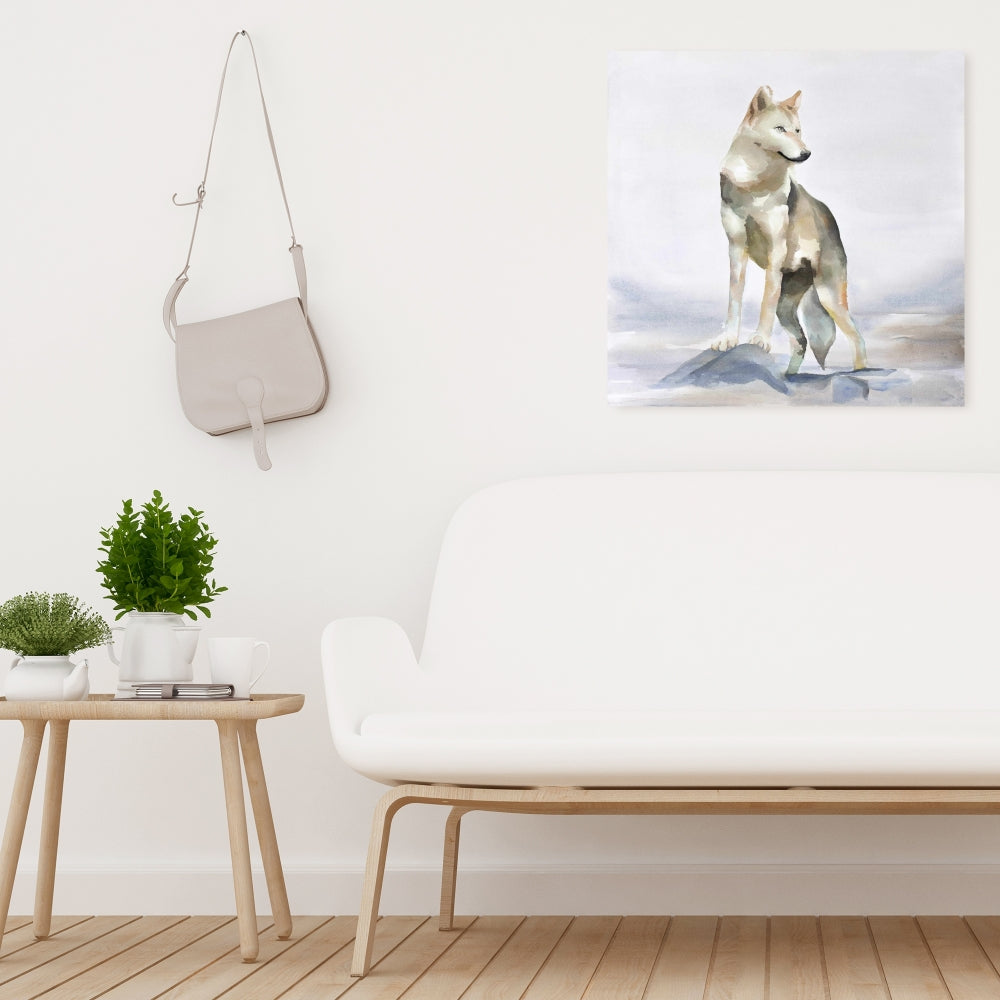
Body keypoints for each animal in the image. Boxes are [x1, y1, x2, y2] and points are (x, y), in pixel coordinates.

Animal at [711, 85, 866, 374]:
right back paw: (789, 376)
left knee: (857, 338)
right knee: (801, 342)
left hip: (830, 298)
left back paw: (863, 372)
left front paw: (760, 340)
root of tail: (829, 215)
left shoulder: (775, 252)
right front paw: (727, 339)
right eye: (780, 129)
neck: (755, 184)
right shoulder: (736, 249)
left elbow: (765, 301)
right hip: (788, 307)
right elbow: (734, 299)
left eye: (798, 130)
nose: (806, 153)